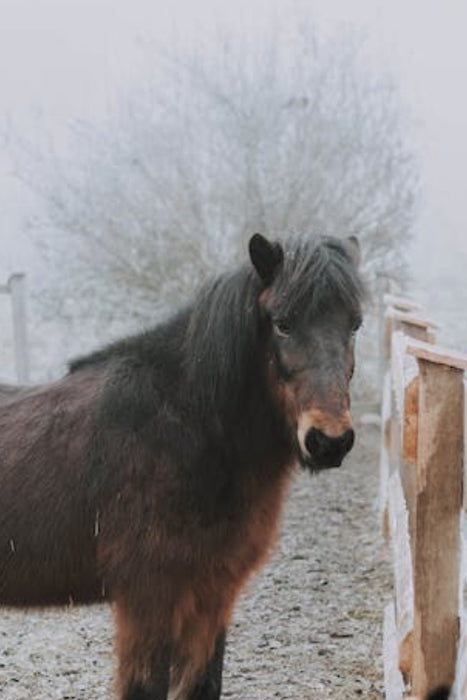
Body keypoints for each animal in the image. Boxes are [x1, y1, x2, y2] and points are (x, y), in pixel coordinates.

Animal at [0, 233, 363, 699]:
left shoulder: (212, 595)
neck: (187, 423)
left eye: (354, 325)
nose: (328, 441)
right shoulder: (150, 601)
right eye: (282, 323)